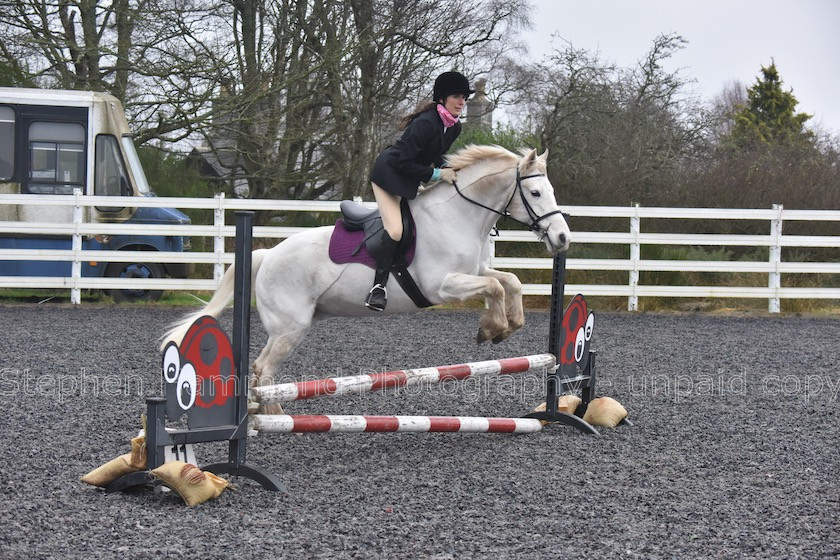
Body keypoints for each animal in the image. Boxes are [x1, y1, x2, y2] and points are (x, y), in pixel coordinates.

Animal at [162, 144, 572, 410]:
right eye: (536, 192)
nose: (563, 239)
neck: (457, 216)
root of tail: (267, 254)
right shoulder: (441, 285)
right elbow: (494, 287)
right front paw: (493, 328)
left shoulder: (473, 271)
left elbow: (509, 281)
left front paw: (507, 325)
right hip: (289, 328)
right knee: (262, 372)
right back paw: (273, 418)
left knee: (264, 373)